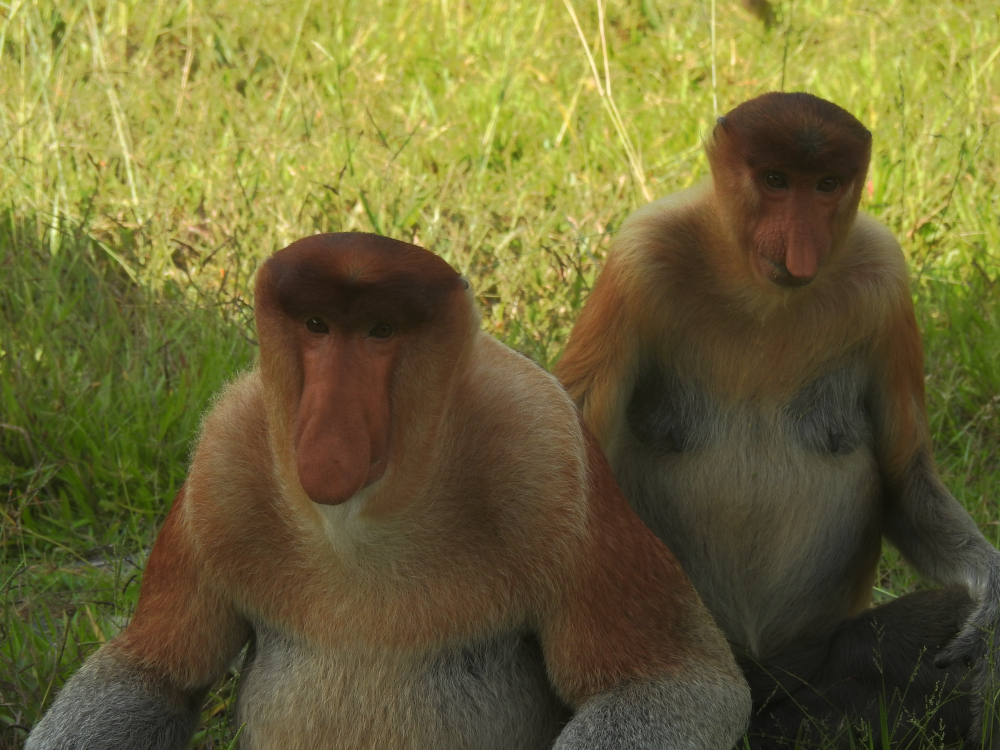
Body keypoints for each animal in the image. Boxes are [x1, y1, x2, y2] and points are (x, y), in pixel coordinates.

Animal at [27, 234, 752, 750]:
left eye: (380, 332)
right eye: (317, 325)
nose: (330, 428)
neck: (363, 522)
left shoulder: (551, 458)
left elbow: (671, 682)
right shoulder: (220, 466)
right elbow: (151, 674)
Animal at [556, 94, 1000, 750]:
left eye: (826, 185)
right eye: (774, 180)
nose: (801, 248)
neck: (761, 294)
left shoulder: (887, 280)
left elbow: (907, 480)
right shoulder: (639, 260)